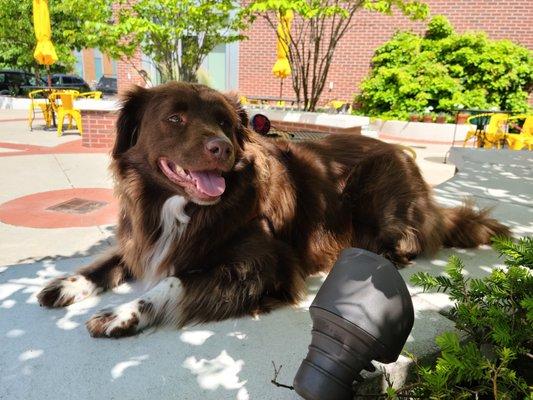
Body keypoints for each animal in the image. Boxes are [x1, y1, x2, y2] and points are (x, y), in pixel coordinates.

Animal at [36, 82, 508, 338]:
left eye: (225, 123)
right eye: (174, 119)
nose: (222, 147)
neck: (182, 209)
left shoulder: (264, 264)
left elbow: (173, 281)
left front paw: (121, 314)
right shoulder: (143, 238)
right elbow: (108, 262)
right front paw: (66, 285)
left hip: (381, 199)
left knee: (408, 239)